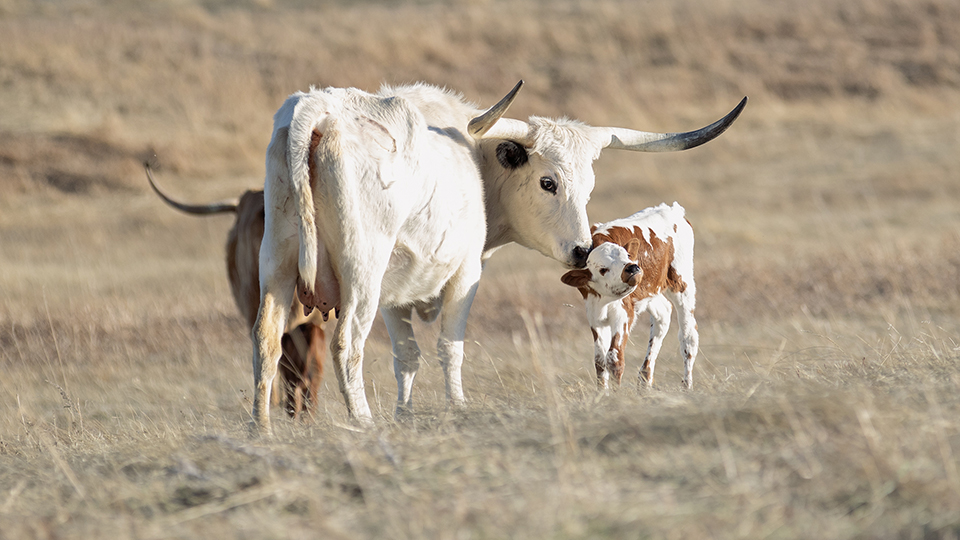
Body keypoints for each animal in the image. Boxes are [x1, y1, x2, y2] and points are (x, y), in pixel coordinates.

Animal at [561, 203, 698, 390]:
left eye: (627, 256)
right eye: (603, 269)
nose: (632, 268)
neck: (604, 299)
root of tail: (673, 209)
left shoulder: (623, 313)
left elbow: (614, 357)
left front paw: (617, 393)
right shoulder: (594, 313)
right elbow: (599, 361)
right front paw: (602, 393)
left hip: (682, 282)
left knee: (688, 336)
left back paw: (687, 385)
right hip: (650, 290)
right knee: (663, 314)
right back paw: (645, 380)